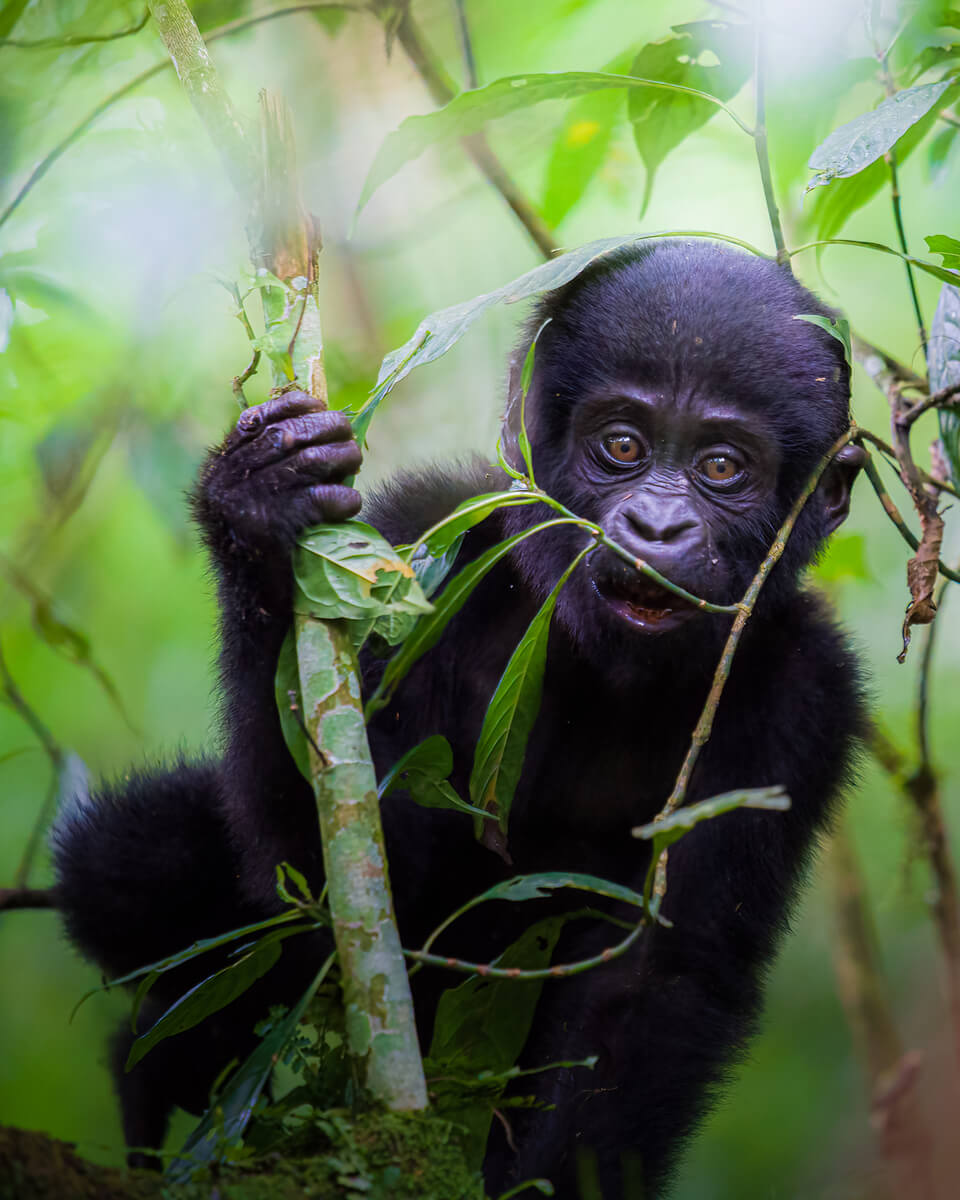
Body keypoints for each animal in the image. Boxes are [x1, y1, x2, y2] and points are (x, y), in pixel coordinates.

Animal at [54, 238, 868, 1195]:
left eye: (721, 467)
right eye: (622, 445)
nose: (659, 525)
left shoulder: (811, 696)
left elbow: (656, 980)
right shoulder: (422, 541)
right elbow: (352, 891)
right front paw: (259, 506)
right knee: (121, 857)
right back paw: (162, 1054)